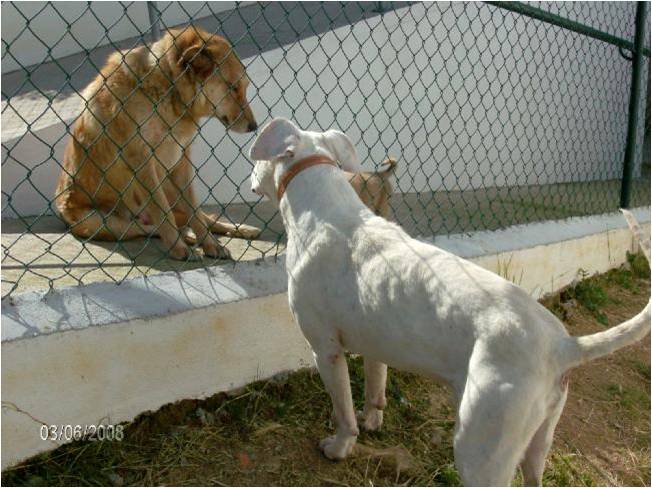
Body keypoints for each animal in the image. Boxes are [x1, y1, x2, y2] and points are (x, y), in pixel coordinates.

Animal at [54, 26, 260, 260]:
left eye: (244, 86)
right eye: (233, 87)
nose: (254, 126)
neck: (168, 90)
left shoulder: (181, 162)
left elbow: (195, 213)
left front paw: (210, 245)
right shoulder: (143, 164)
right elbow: (163, 213)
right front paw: (180, 248)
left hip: (166, 189)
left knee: (202, 217)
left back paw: (240, 229)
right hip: (101, 222)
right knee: (146, 228)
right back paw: (186, 238)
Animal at [247, 117, 648, 484]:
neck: (323, 209)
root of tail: (562, 345)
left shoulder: (325, 350)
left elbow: (343, 411)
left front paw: (340, 446)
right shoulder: (376, 344)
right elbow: (376, 388)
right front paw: (373, 419)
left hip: (480, 447)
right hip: (538, 442)